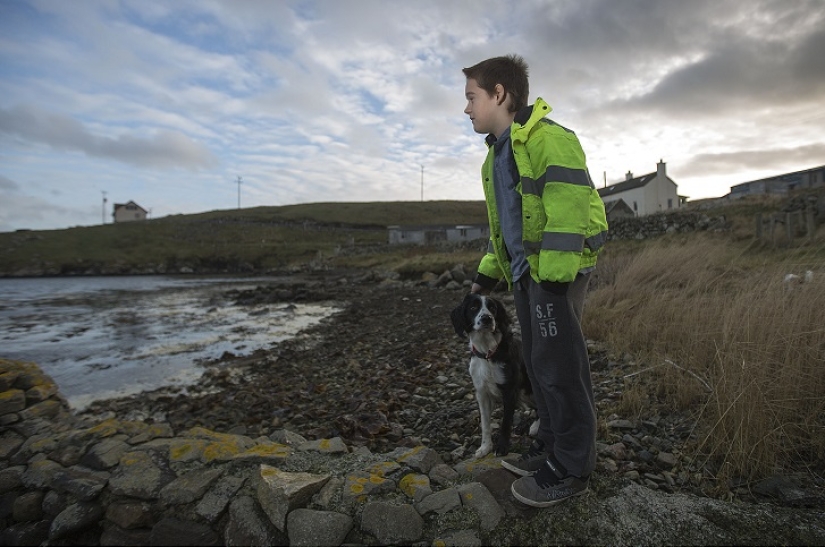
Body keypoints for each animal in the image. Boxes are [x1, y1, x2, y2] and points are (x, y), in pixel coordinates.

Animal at [448, 294, 536, 460]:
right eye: (473, 307)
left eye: (493, 308)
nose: (487, 318)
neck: (487, 353)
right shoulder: (482, 393)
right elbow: (485, 423)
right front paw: (485, 447)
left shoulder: (509, 391)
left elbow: (505, 422)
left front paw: (502, 447)